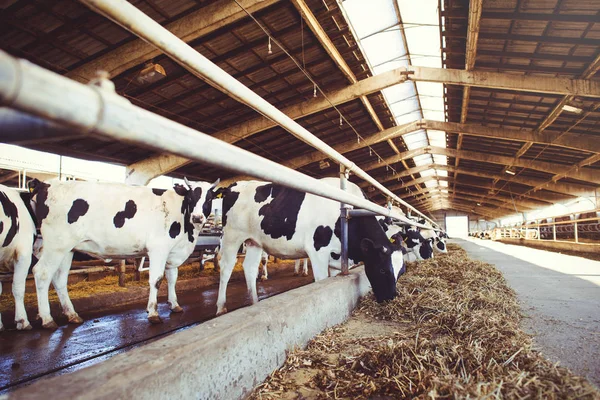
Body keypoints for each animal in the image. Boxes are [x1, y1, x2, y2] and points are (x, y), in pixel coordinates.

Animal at [29, 178, 219, 328]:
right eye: (191, 197)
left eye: (209, 198)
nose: (197, 217)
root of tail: (46, 184)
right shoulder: (158, 248)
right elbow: (157, 280)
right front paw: (153, 313)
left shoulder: (172, 252)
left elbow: (172, 279)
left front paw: (174, 305)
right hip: (56, 245)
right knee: (42, 273)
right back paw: (47, 319)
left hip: (67, 249)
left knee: (59, 279)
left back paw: (72, 315)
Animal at [213, 177, 406, 314]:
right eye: (382, 269)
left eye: (402, 271)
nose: (391, 298)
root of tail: (235, 184)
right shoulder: (318, 252)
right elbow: (321, 280)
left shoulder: (336, 256)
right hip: (232, 236)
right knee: (226, 268)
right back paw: (221, 307)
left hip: (254, 241)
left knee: (250, 268)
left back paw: (254, 302)